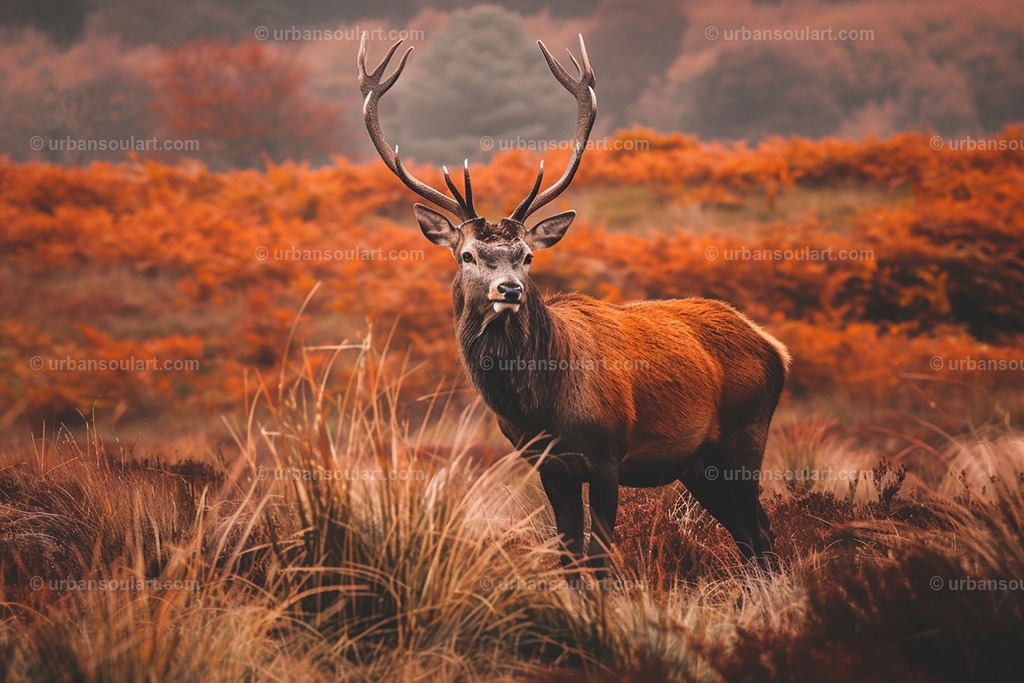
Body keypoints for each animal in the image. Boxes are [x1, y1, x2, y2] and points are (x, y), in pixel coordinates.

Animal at [357, 33, 790, 572]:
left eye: (526, 256)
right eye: (468, 254)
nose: (509, 290)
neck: (543, 406)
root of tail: (775, 347)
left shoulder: (607, 455)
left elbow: (601, 556)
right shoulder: (548, 465)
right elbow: (568, 557)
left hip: (744, 435)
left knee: (761, 530)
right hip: (697, 463)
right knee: (749, 535)